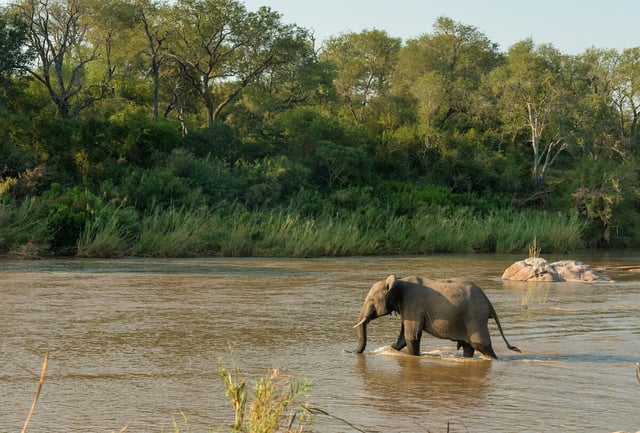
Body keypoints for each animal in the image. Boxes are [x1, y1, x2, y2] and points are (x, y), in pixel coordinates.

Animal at [353, 275, 521, 359]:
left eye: (371, 300)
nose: (352, 352)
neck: (398, 281)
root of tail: (488, 302)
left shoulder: (413, 305)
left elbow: (411, 335)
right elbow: (402, 338)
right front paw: (390, 349)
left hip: (475, 316)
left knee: (482, 345)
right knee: (469, 347)